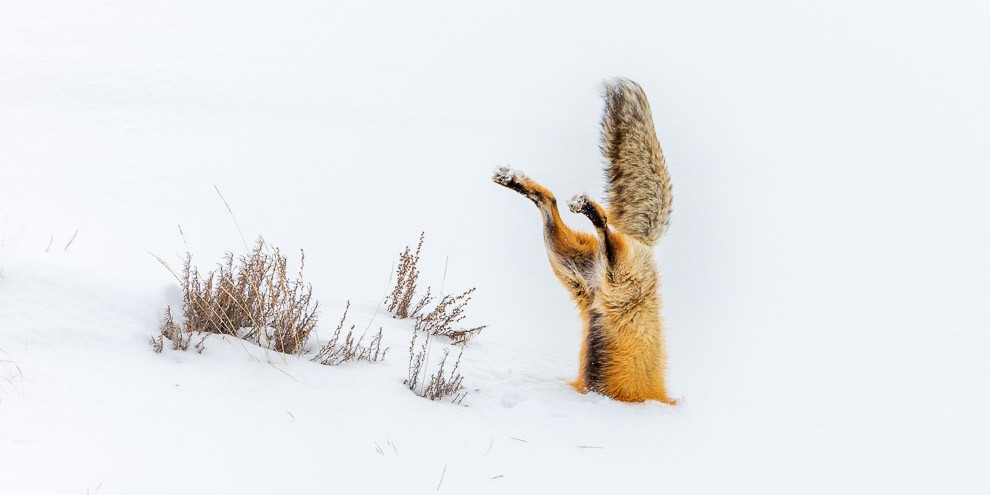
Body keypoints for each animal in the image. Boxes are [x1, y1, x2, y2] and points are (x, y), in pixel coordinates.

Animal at [494, 77, 676, 404]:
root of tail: (645, 243)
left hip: (569, 263)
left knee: (550, 200)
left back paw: (517, 181)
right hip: (616, 279)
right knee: (602, 230)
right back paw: (589, 209)